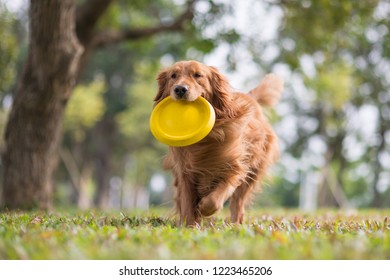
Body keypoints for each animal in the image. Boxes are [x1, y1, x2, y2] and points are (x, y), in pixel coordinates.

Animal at [153, 59, 284, 225]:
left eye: (197, 75)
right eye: (173, 76)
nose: (180, 89)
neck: (206, 140)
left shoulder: (234, 166)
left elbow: (215, 199)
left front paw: (204, 208)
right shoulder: (185, 171)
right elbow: (187, 202)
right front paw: (189, 225)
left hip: (253, 172)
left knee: (238, 203)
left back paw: (236, 224)